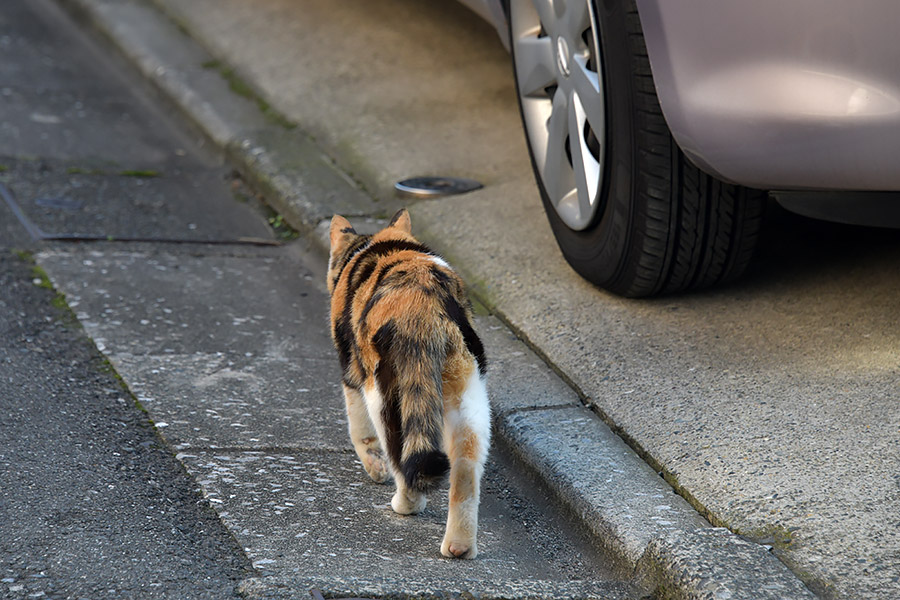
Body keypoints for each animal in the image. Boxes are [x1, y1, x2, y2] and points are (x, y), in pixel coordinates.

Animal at [326, 207, 488, 556]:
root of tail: (421, 303)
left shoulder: (351, 370)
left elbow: (360, 432)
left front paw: (375, 469)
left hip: (383, 393)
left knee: (398, 452)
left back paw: (406, 503)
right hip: (469, 395)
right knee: (466, 466)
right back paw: (459, 547)